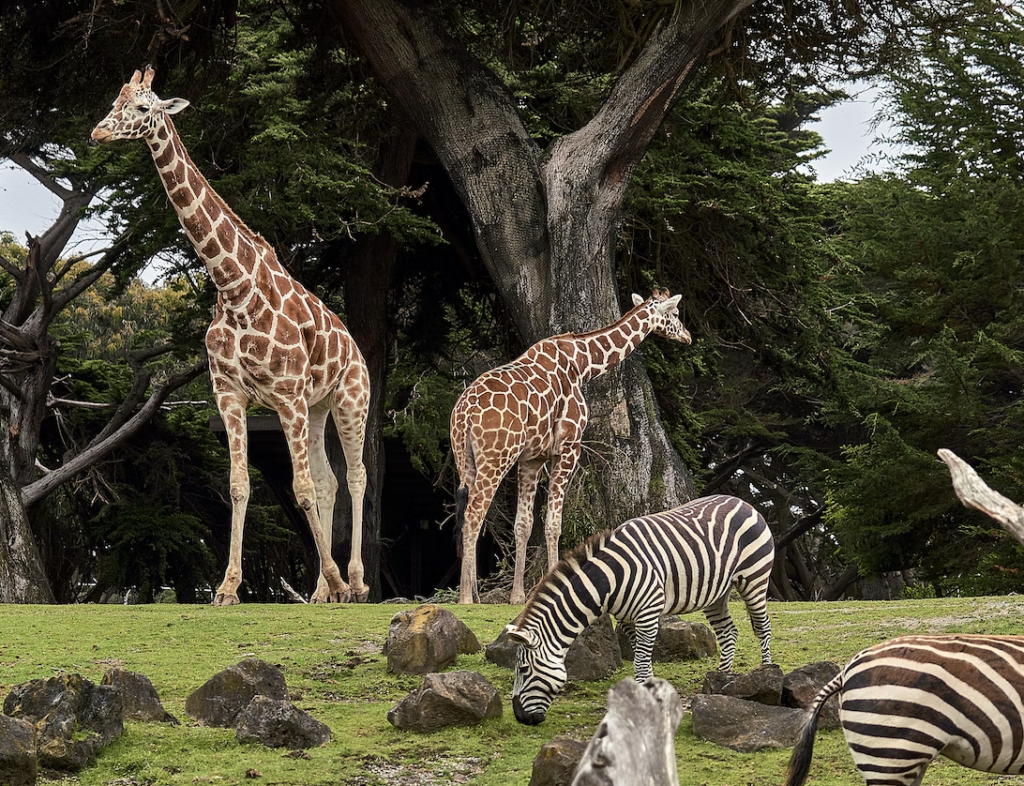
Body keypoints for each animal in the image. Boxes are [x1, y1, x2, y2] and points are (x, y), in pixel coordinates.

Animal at [91, 69, 372, 605]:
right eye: (115, 99)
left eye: (142, 108)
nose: (97, 133)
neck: (233, 286)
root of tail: (356, 349)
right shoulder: (230, 393)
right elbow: (241, 485)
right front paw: (227, 587)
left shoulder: (285, 396)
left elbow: (300, 488)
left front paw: (333, 579)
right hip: (318, 406)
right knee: (329, 480)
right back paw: (324, 590)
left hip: (351, 400)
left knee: (355, 475)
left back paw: (355, 581)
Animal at [452, 288, 692, 601]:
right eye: (674, 314)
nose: (687, 336)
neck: (583, 364)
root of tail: (464, 413)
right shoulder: (568, 447)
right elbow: (554, 524)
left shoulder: (532, 458)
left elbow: (523, 525)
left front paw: (518, 596)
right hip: (496, 458)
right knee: (473, 515)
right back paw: (465, 598)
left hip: (465, 459)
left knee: (468, 515)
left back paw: (474, 594)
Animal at [507, 497, 770, 724]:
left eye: (523, 669)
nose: (520, 718)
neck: (609, 579)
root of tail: (742, 501)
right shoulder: (626, 620)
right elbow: (640, 658)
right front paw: (648, 693)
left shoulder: (647, 614)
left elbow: (640, 663)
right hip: (717, 593)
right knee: (728, 632)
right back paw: (721, 679)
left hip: (755, 578)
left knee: (763, 625)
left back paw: (766, 674)